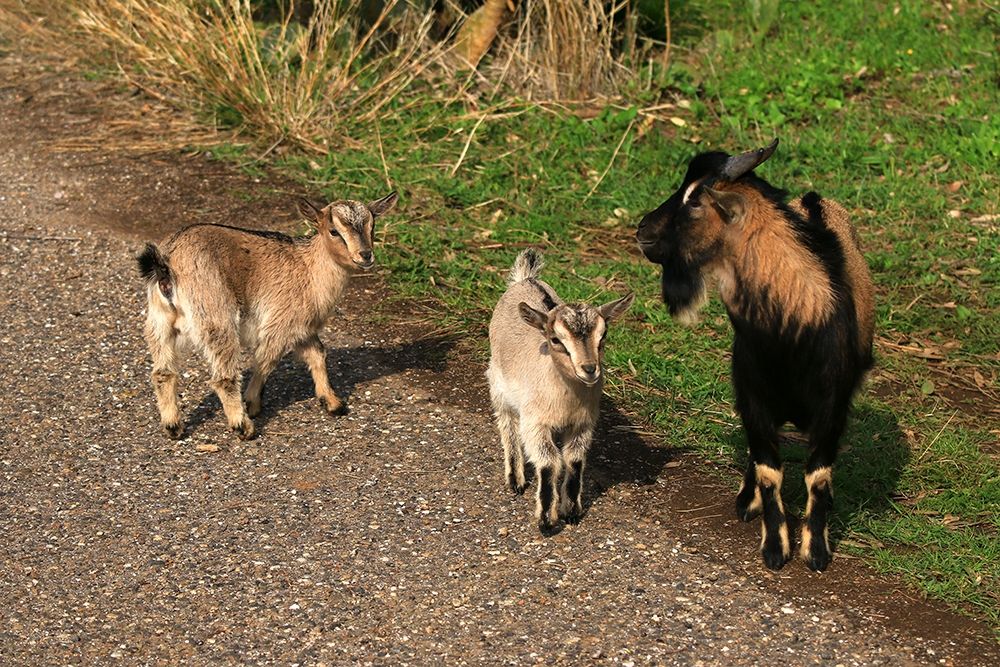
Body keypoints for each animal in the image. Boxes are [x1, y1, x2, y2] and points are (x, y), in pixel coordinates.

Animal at [137, 192, 398, 439]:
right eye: (334, 231)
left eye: (372, 226)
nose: (366, 255)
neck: (308, 268)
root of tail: (166, 265)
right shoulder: (281, 321)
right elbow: (266, 360)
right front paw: (252, 404)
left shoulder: (302, 328)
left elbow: (317, 354)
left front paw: (333, 403)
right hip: (215, 314)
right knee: (224, 377)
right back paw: (243, 427)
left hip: (160, 320)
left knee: (162, 373)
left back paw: (173, 426)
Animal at [487, 249, 634, 532]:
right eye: (556, 340)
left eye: (603, 336)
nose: (589, 369)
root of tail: (526, 279)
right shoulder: (535, 423)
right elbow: (549, 462)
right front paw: (546, 519)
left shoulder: (583, 423)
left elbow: (573, 460)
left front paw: (572, 511)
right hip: (498, 383)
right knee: (507, 424)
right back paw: (515, 478)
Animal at [635, 139, 874, 571]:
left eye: (695, 200)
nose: (643, 229)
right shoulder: (753, 392)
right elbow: (768, 471)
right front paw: (775, 547)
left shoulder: (833, 406)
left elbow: (818, 476)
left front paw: (816, 551)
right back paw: (748, 502)